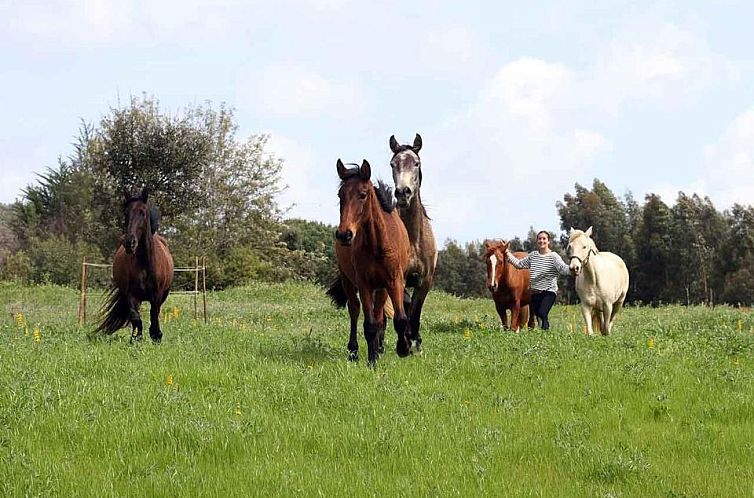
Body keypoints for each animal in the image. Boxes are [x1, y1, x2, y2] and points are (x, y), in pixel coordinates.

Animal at [95, 188, 173, 342]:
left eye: (142, 212)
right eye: (126, 213)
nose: (130, 243)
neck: (145, 263)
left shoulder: (157, 295)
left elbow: (154, 316)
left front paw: (156, 336)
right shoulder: (130, 295)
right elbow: (136, 318)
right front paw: (136, 338)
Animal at [328, 160, 412, 366]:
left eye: (363, 194)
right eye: (340, 195)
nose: (344, 234)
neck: (377, 244)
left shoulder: (394, 281)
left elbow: (399, 319)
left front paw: (403, 348)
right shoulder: (364, 284)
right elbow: (369, 324)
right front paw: (372, 360)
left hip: (381, 288)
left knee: (380, 313)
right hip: (349, 282)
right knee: (355, 310)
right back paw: (354, 351)